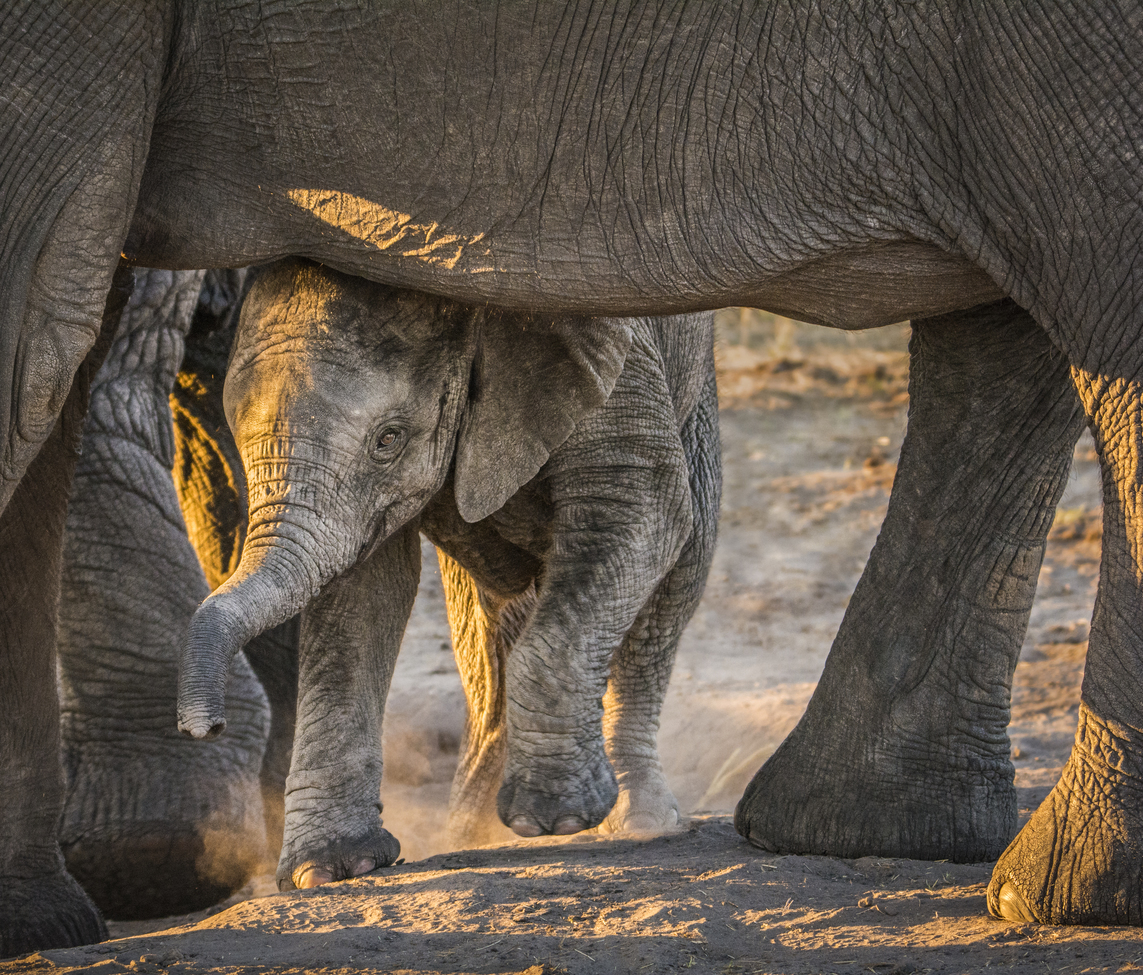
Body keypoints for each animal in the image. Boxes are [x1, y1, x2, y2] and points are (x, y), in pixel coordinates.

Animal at [175, 258, 721, 890]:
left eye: (388, 439)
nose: (203, 728)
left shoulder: (615, 358)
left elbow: (638, 502)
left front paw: (555, 818)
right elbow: (362, 594)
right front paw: (329, 870)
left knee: (674, 581)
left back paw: (638, 821)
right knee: (486, 632)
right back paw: (471, 835)